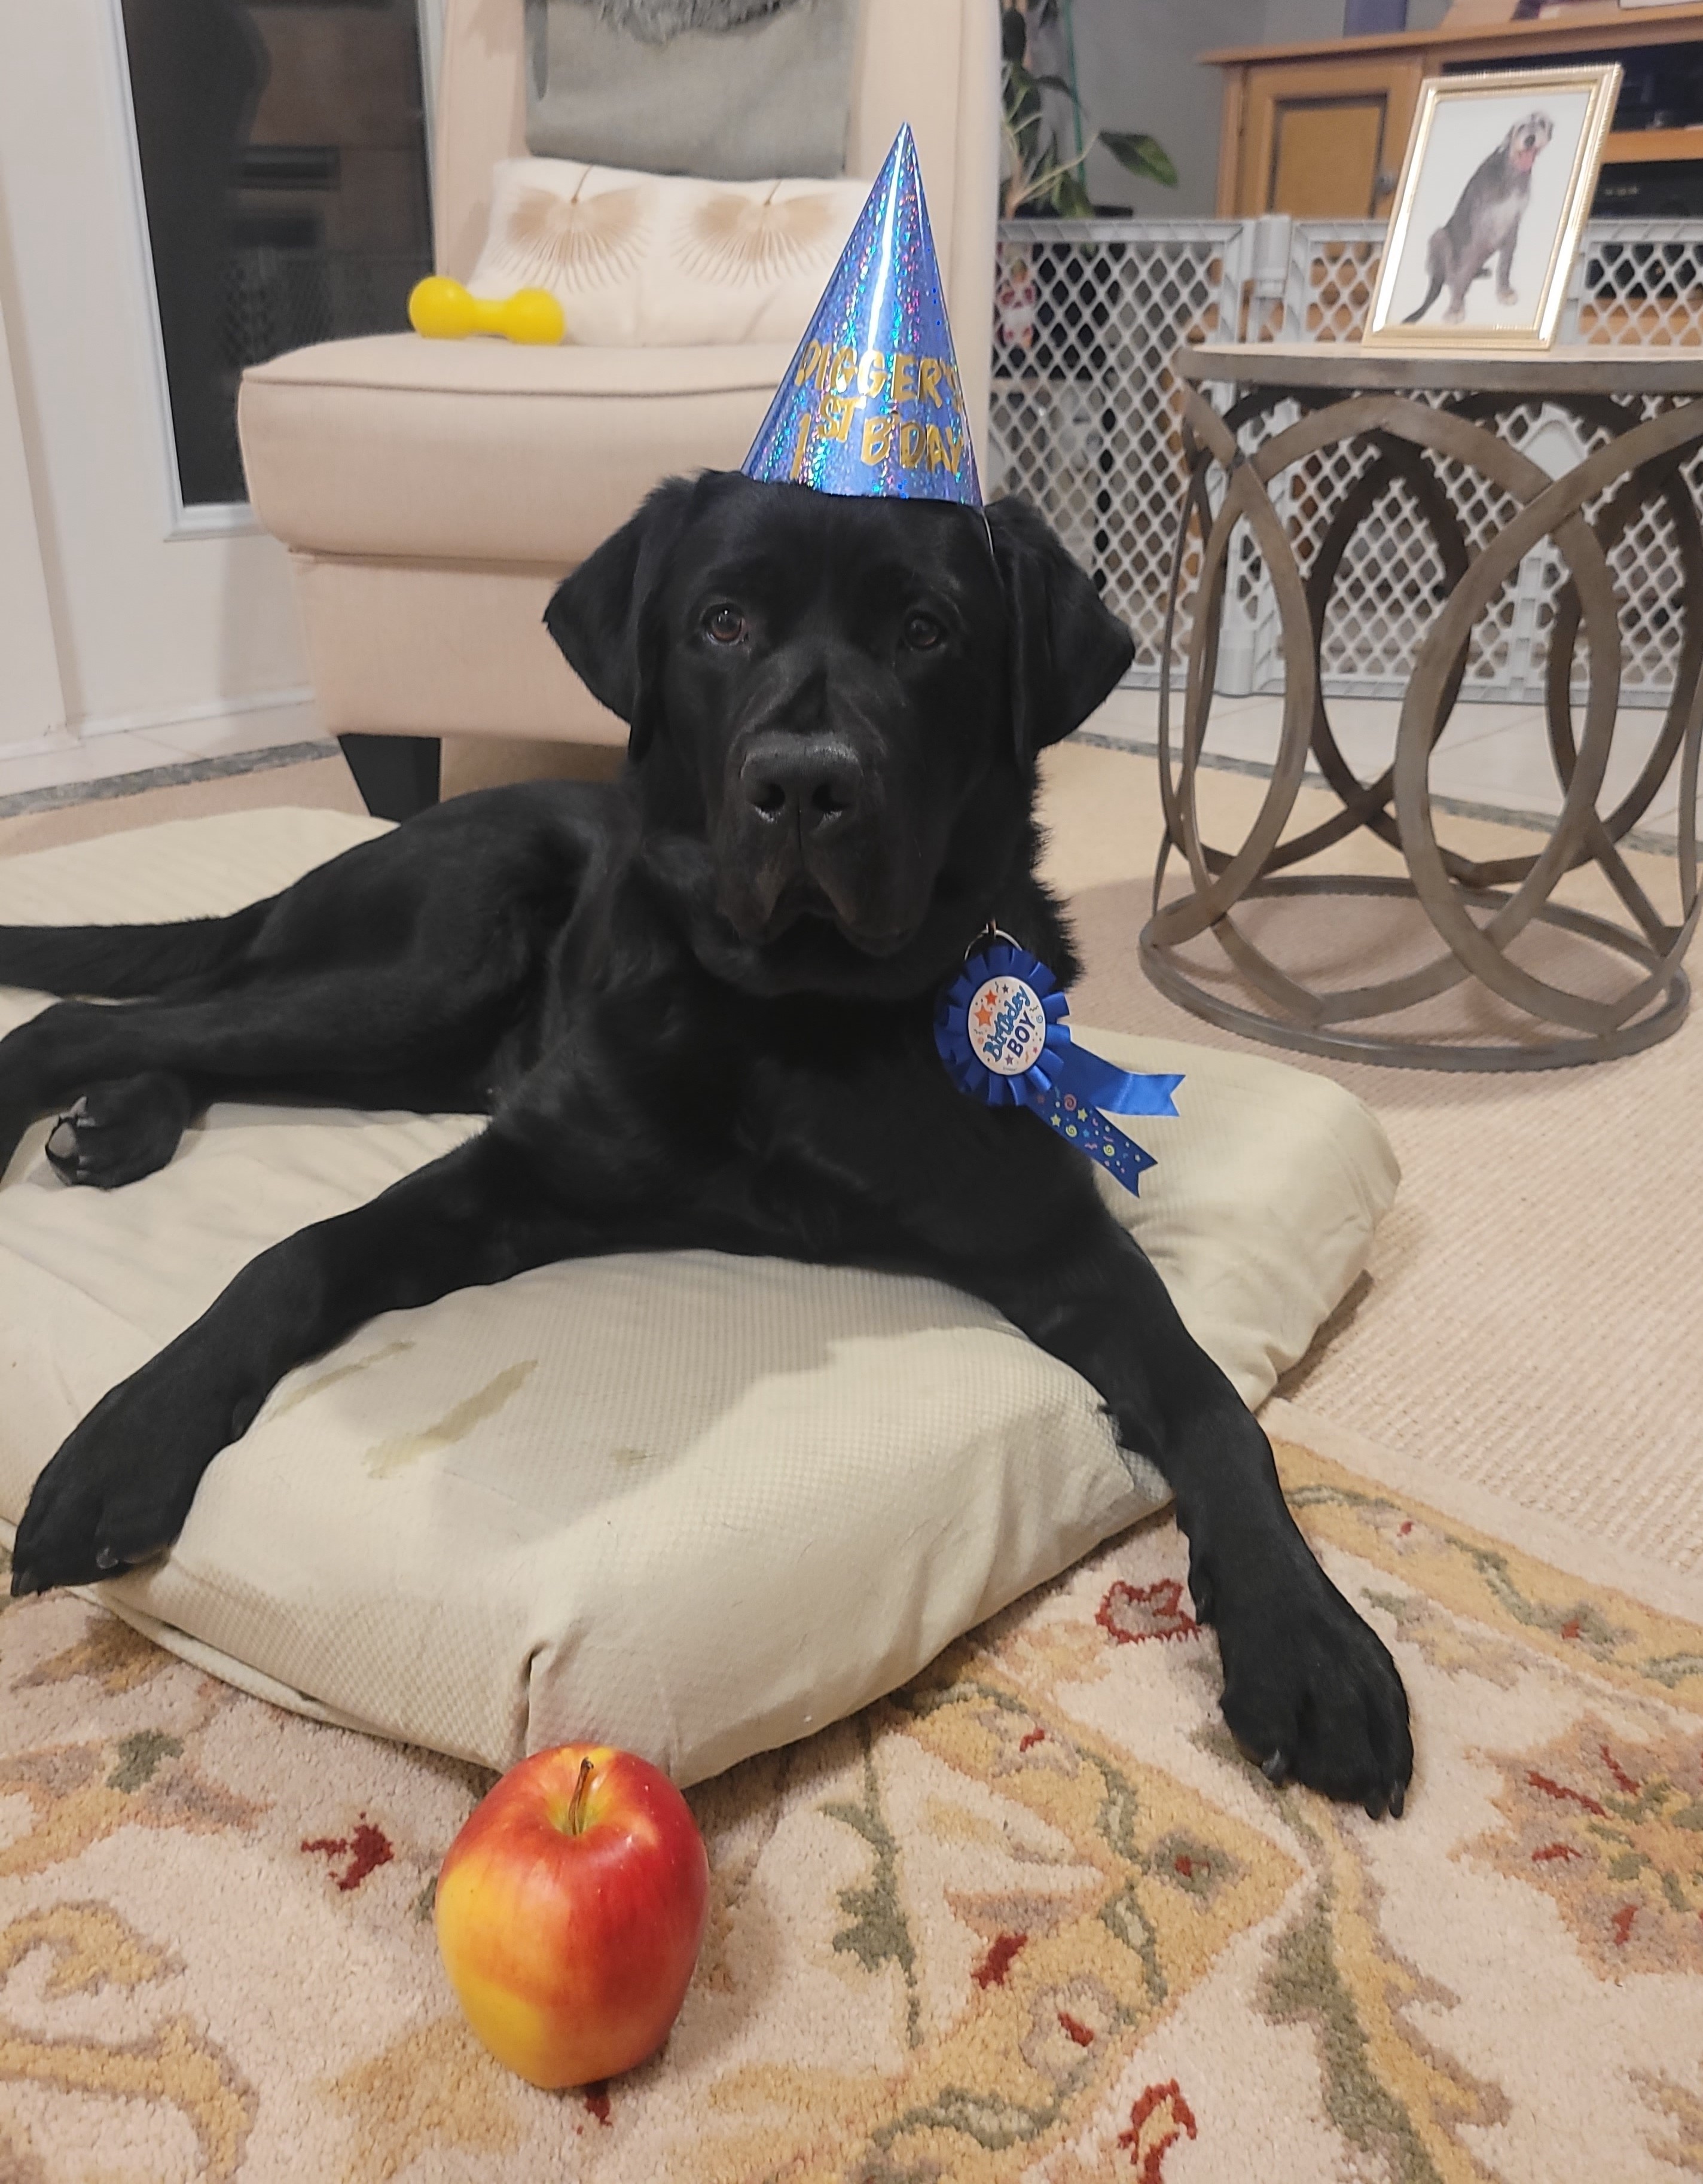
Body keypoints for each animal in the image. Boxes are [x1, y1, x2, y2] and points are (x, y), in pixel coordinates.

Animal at [1, 475, 1410, 1814]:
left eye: (926, 631)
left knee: (177, 1033)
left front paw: (1307, 1641)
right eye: (722, 622)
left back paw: (118, 1122)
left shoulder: (1059, 1239)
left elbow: (1211, 1402)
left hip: (409, 1043)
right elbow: (294, 1256)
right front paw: (125, 1443)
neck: (800, 1018)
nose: (805, 783)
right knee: (102, 1013)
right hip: (425, 966)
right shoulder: (517, 1168)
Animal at [1404, 110, 1554, 325]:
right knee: (1447, 276)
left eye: (1542, 123)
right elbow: (1463, 276)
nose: (1530, 140)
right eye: (1521, 127)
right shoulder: (1479, 228)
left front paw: (1505, 292)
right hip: (1440, 238)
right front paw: (1456, 308)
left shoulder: (1512, 226)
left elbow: (1505, 265)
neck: (1511, 173)